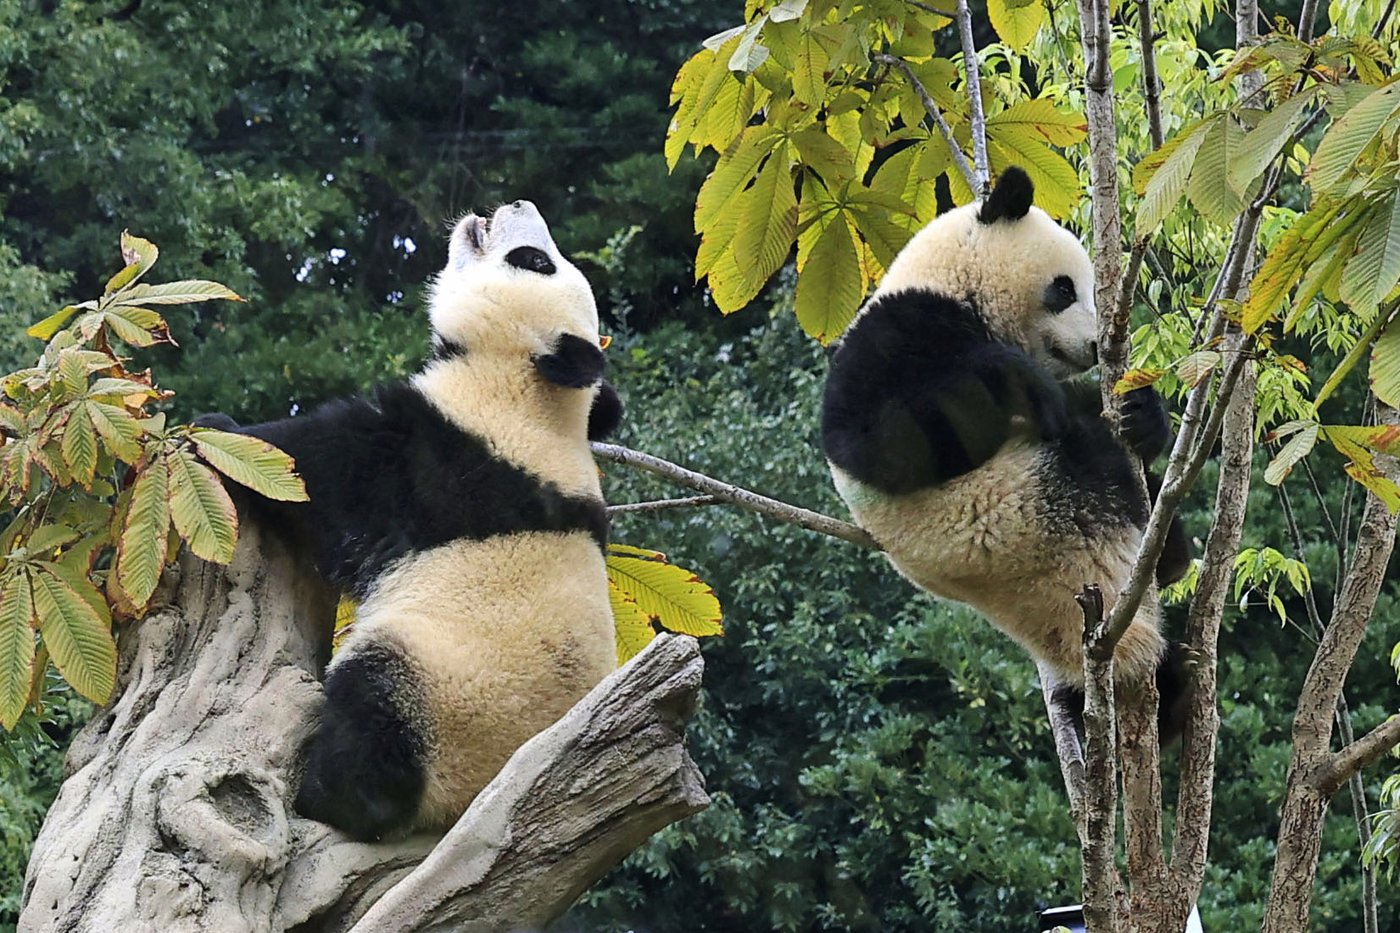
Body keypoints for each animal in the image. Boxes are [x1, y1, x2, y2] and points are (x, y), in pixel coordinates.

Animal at [196, 200, 622, 840]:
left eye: (533, 261)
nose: (519, 204)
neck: (532, 394)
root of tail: (463, 805)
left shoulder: (440, 455)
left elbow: (316, 469)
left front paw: (216, 428)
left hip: (440, 686)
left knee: (374, 706)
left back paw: (325, 795)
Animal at [821, 167, 1191, 737]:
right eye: (1064, 289)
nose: (1094, 346)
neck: (954, 283)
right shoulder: (895, 334)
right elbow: (879, 442)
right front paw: (1022, 382)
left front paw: (1143, 414)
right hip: (1021, 510)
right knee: (1089, 459)